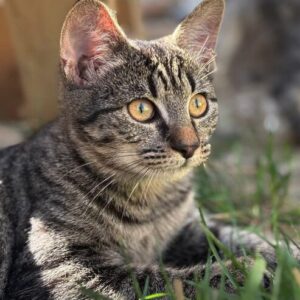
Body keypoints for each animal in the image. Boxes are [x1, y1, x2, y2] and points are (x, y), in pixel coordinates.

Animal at [0, 1, 296, 298]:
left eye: (198, 104)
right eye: (141, 109)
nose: (189, 146)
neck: (150, 201)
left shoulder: (188, 228)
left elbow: (241, 236)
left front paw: (285, 257)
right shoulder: (64, 269)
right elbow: (164, 280)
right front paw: (246, 272)